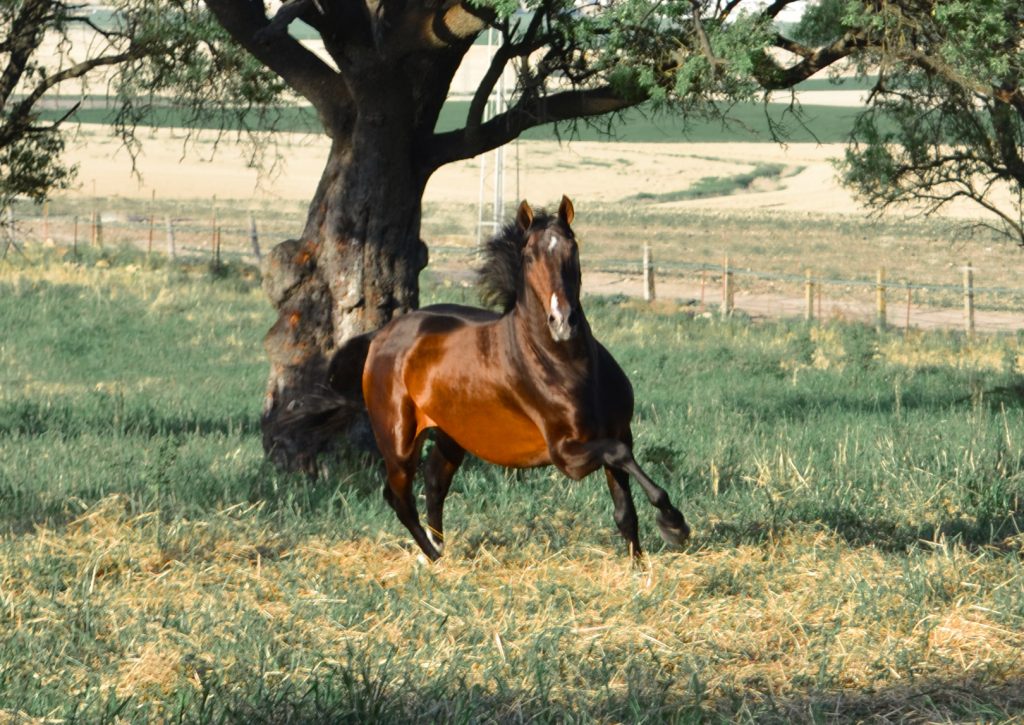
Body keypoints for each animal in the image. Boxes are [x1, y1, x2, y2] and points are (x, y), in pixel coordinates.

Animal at [327, 193, 688, 561]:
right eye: (528, 256)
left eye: (573, 249)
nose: (563, 320)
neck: (569, 366)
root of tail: (379, 335)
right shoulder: (568, 455)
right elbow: (619, 455)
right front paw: (674, 524)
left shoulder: (618, 430)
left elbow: (625, 510)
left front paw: (641, 562)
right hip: (398, 439)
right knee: (398, 496)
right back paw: (434, 556)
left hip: (451, 434)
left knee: (434, 481)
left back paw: (437, 547)